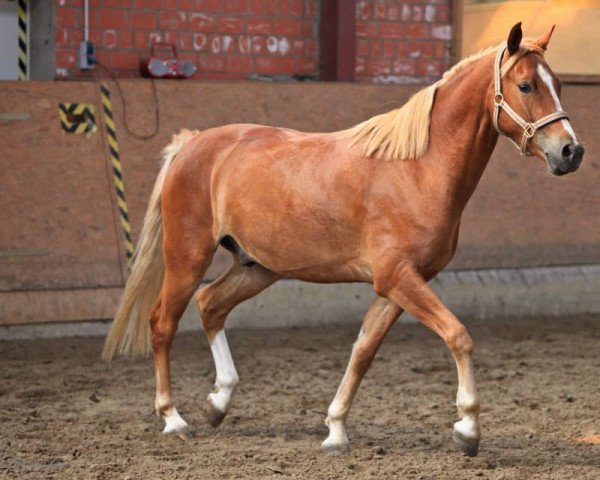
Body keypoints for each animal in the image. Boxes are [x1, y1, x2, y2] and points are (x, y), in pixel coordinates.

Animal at [103, 23, 584, 458]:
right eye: (525, 85)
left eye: (559, 85)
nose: (571, 152)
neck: (418, 169)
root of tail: (189, 145)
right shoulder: (398, 279)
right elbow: (458, 335)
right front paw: (467, 429)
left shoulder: (397, 286)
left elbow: (363, 351)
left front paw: (335, 430)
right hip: (188, 257)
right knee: (162, 322)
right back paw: (173, 419)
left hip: (257, 267)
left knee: (210, 306)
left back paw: (218, 402)